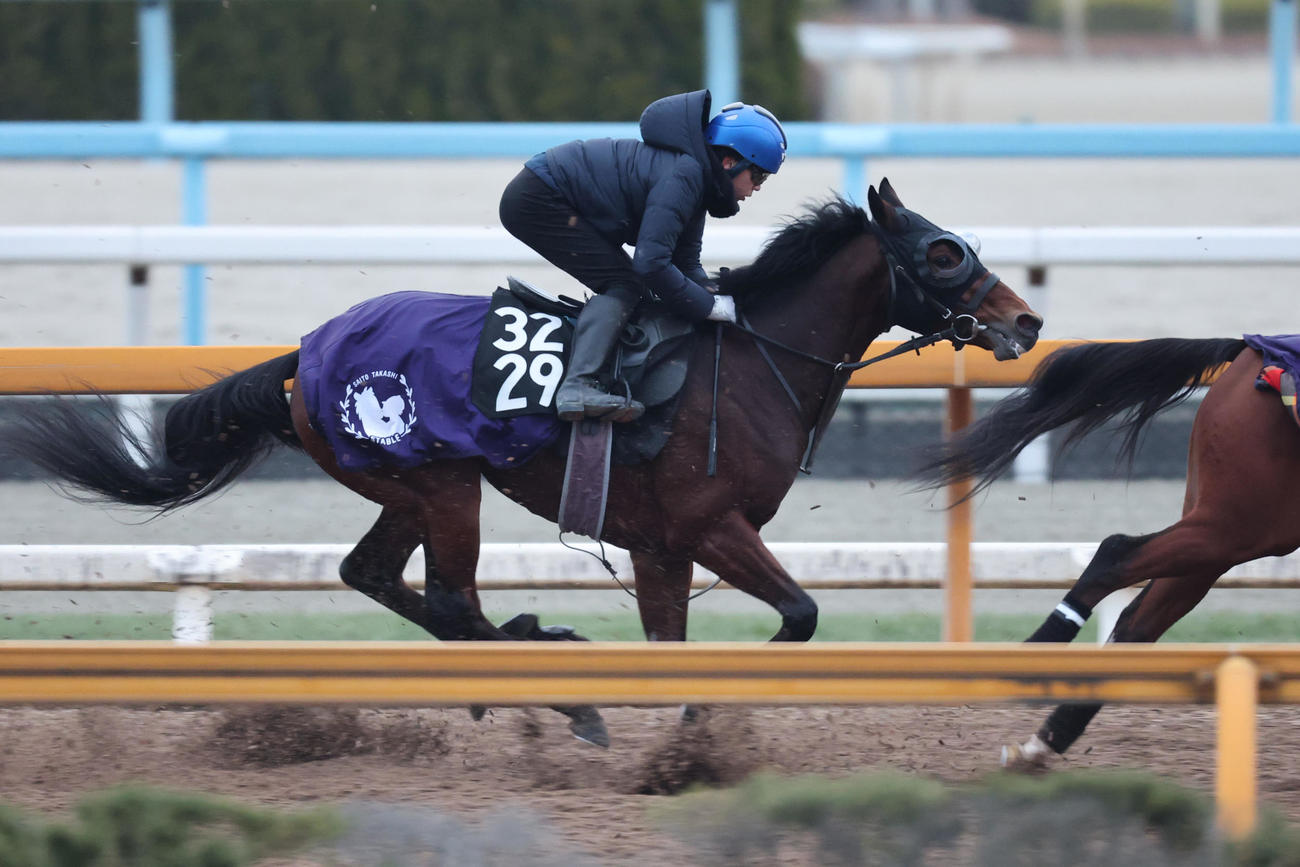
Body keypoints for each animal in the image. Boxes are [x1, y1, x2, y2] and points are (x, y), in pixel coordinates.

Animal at [7, 178, 1042, 747]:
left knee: (376, 575)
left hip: (410, 485)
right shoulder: (709, 525)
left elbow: (675, 647)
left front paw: (687, 749)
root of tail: (306, 350)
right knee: (450, 600)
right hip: (443, 485)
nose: (1027, 320)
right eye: (943, 253)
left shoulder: (661, 545)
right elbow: (801, 614)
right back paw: (558, 677)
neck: (751, 359)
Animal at [916, 334, 1300, 767]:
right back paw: (1033, 663)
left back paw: (1044, 740)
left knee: (1136, 622)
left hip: (1225, 530)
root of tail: (1248, 350)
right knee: (1116, 555)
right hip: (1241, 525)